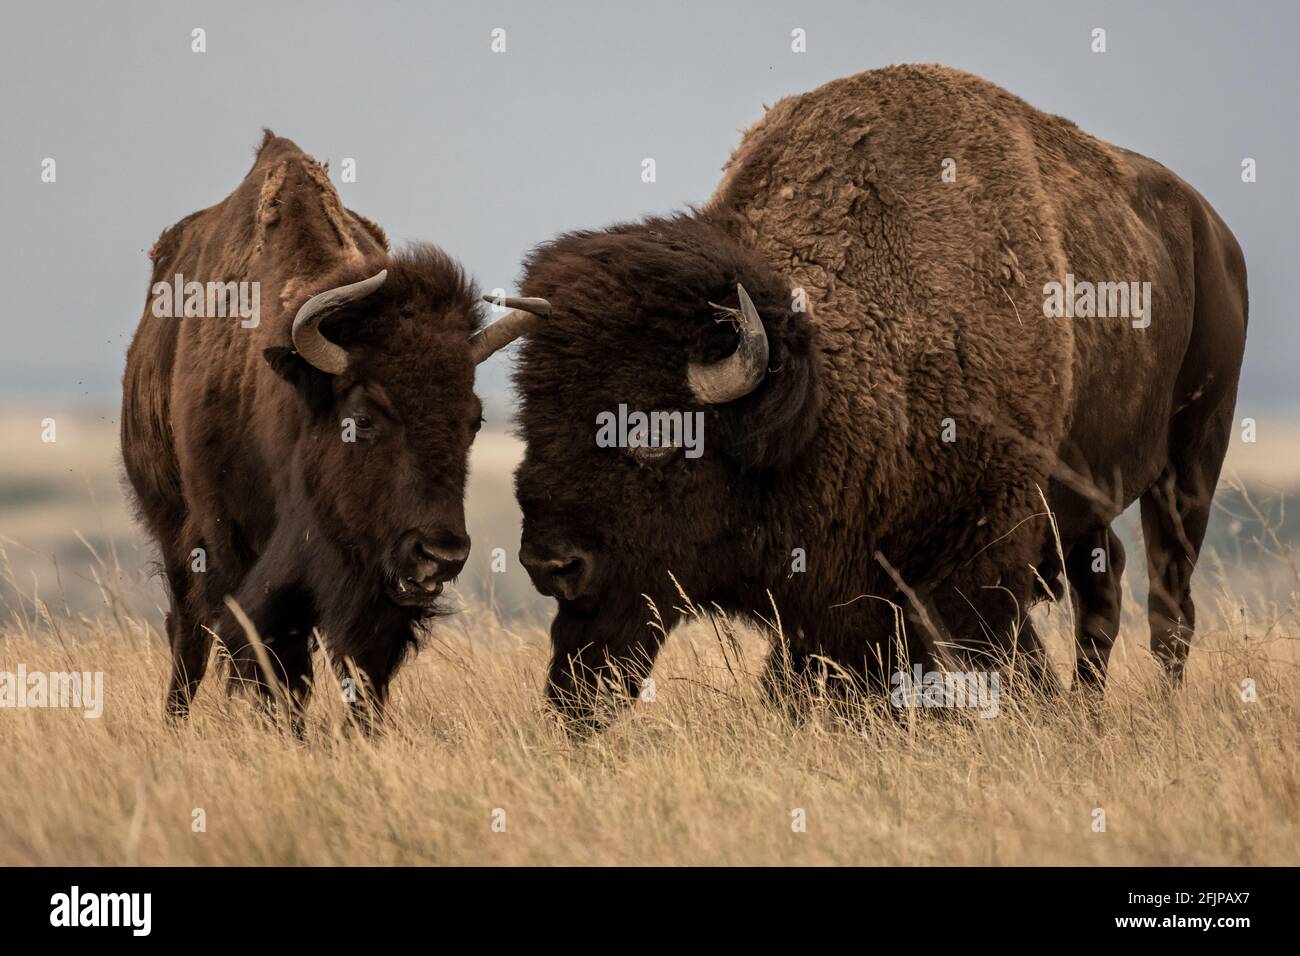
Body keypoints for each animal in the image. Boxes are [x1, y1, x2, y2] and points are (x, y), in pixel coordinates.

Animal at [492, 65, 1247, 724]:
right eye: (534, 422)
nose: (550, 563)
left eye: (654, 440)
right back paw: (1090, 713)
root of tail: (1212, 230)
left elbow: (996, 661)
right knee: (1105, 587)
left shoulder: (978, 558)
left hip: (1191, 463)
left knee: (1169, 606)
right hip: (1087, 509)